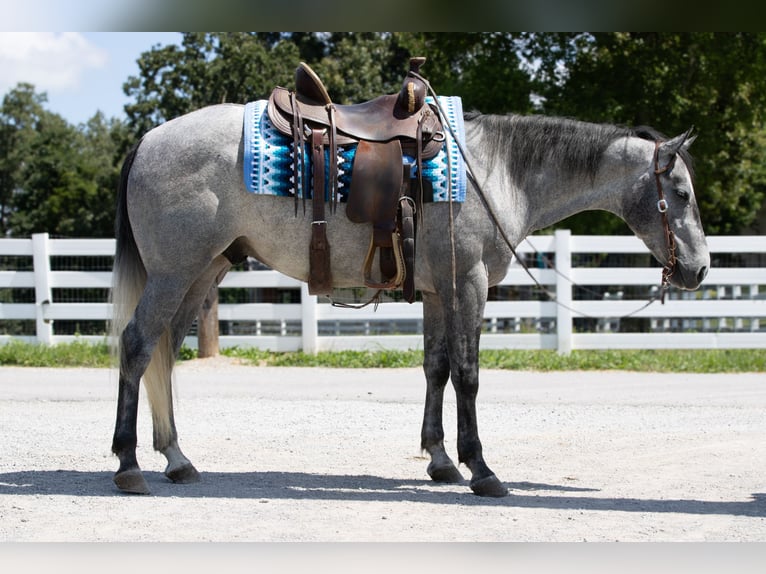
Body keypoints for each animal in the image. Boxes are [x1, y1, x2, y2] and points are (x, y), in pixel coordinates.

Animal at [110, 104, 709, 497]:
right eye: (680, 194)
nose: (700, 268)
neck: (495, 173)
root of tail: (149, 139)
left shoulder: (438, 293)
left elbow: (436, 368)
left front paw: (441, 461)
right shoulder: (468, 286)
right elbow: (468, 374)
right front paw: (481, 469)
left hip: (201, 273)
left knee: (164, 351)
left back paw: (176, 458)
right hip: (174, 274)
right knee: (137, 347)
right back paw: (128, 464)